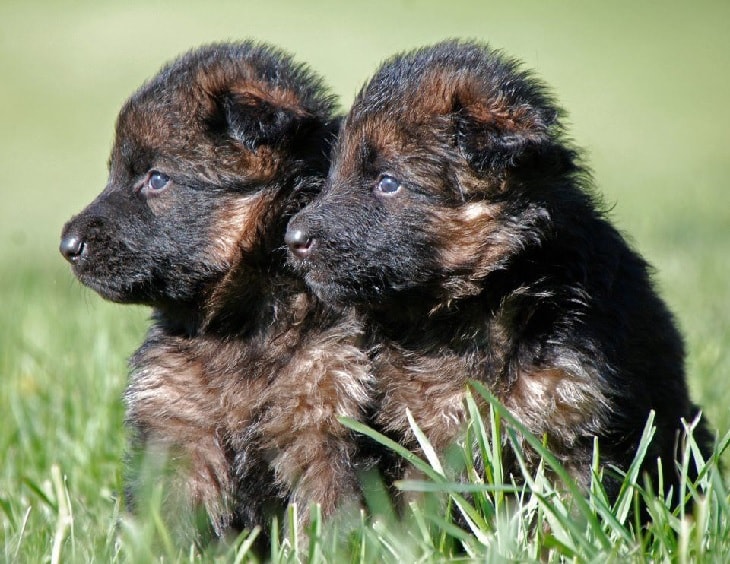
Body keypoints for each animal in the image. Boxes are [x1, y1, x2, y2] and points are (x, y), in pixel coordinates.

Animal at [59, 43, 372, 536]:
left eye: (157, 178)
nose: (67, 245)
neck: (240, 325)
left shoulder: (324, 417)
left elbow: (328, 513)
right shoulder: (178, 429)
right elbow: (171, 522)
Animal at [286, 39, 712, 504]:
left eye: (387, 182)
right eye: (332, 175)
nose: (292, 238)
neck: (473, 303)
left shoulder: (573, 416)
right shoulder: (419, 431)